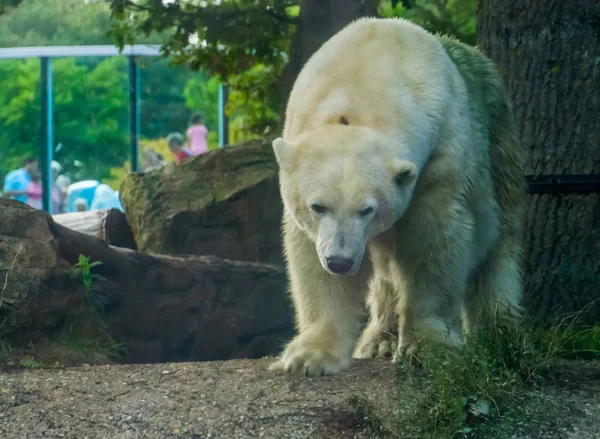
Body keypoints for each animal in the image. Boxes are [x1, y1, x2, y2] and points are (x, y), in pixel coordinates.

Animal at [268, 18, 524, 378]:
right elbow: (309, 254)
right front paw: (310, 356)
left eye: (366, 209)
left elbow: (432, 239)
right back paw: (379, 340)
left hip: (499, 141)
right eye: (318, 206)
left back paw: (500, 336)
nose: (339, 261)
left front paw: (428, 348)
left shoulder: (441, 156)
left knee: (499, 243)